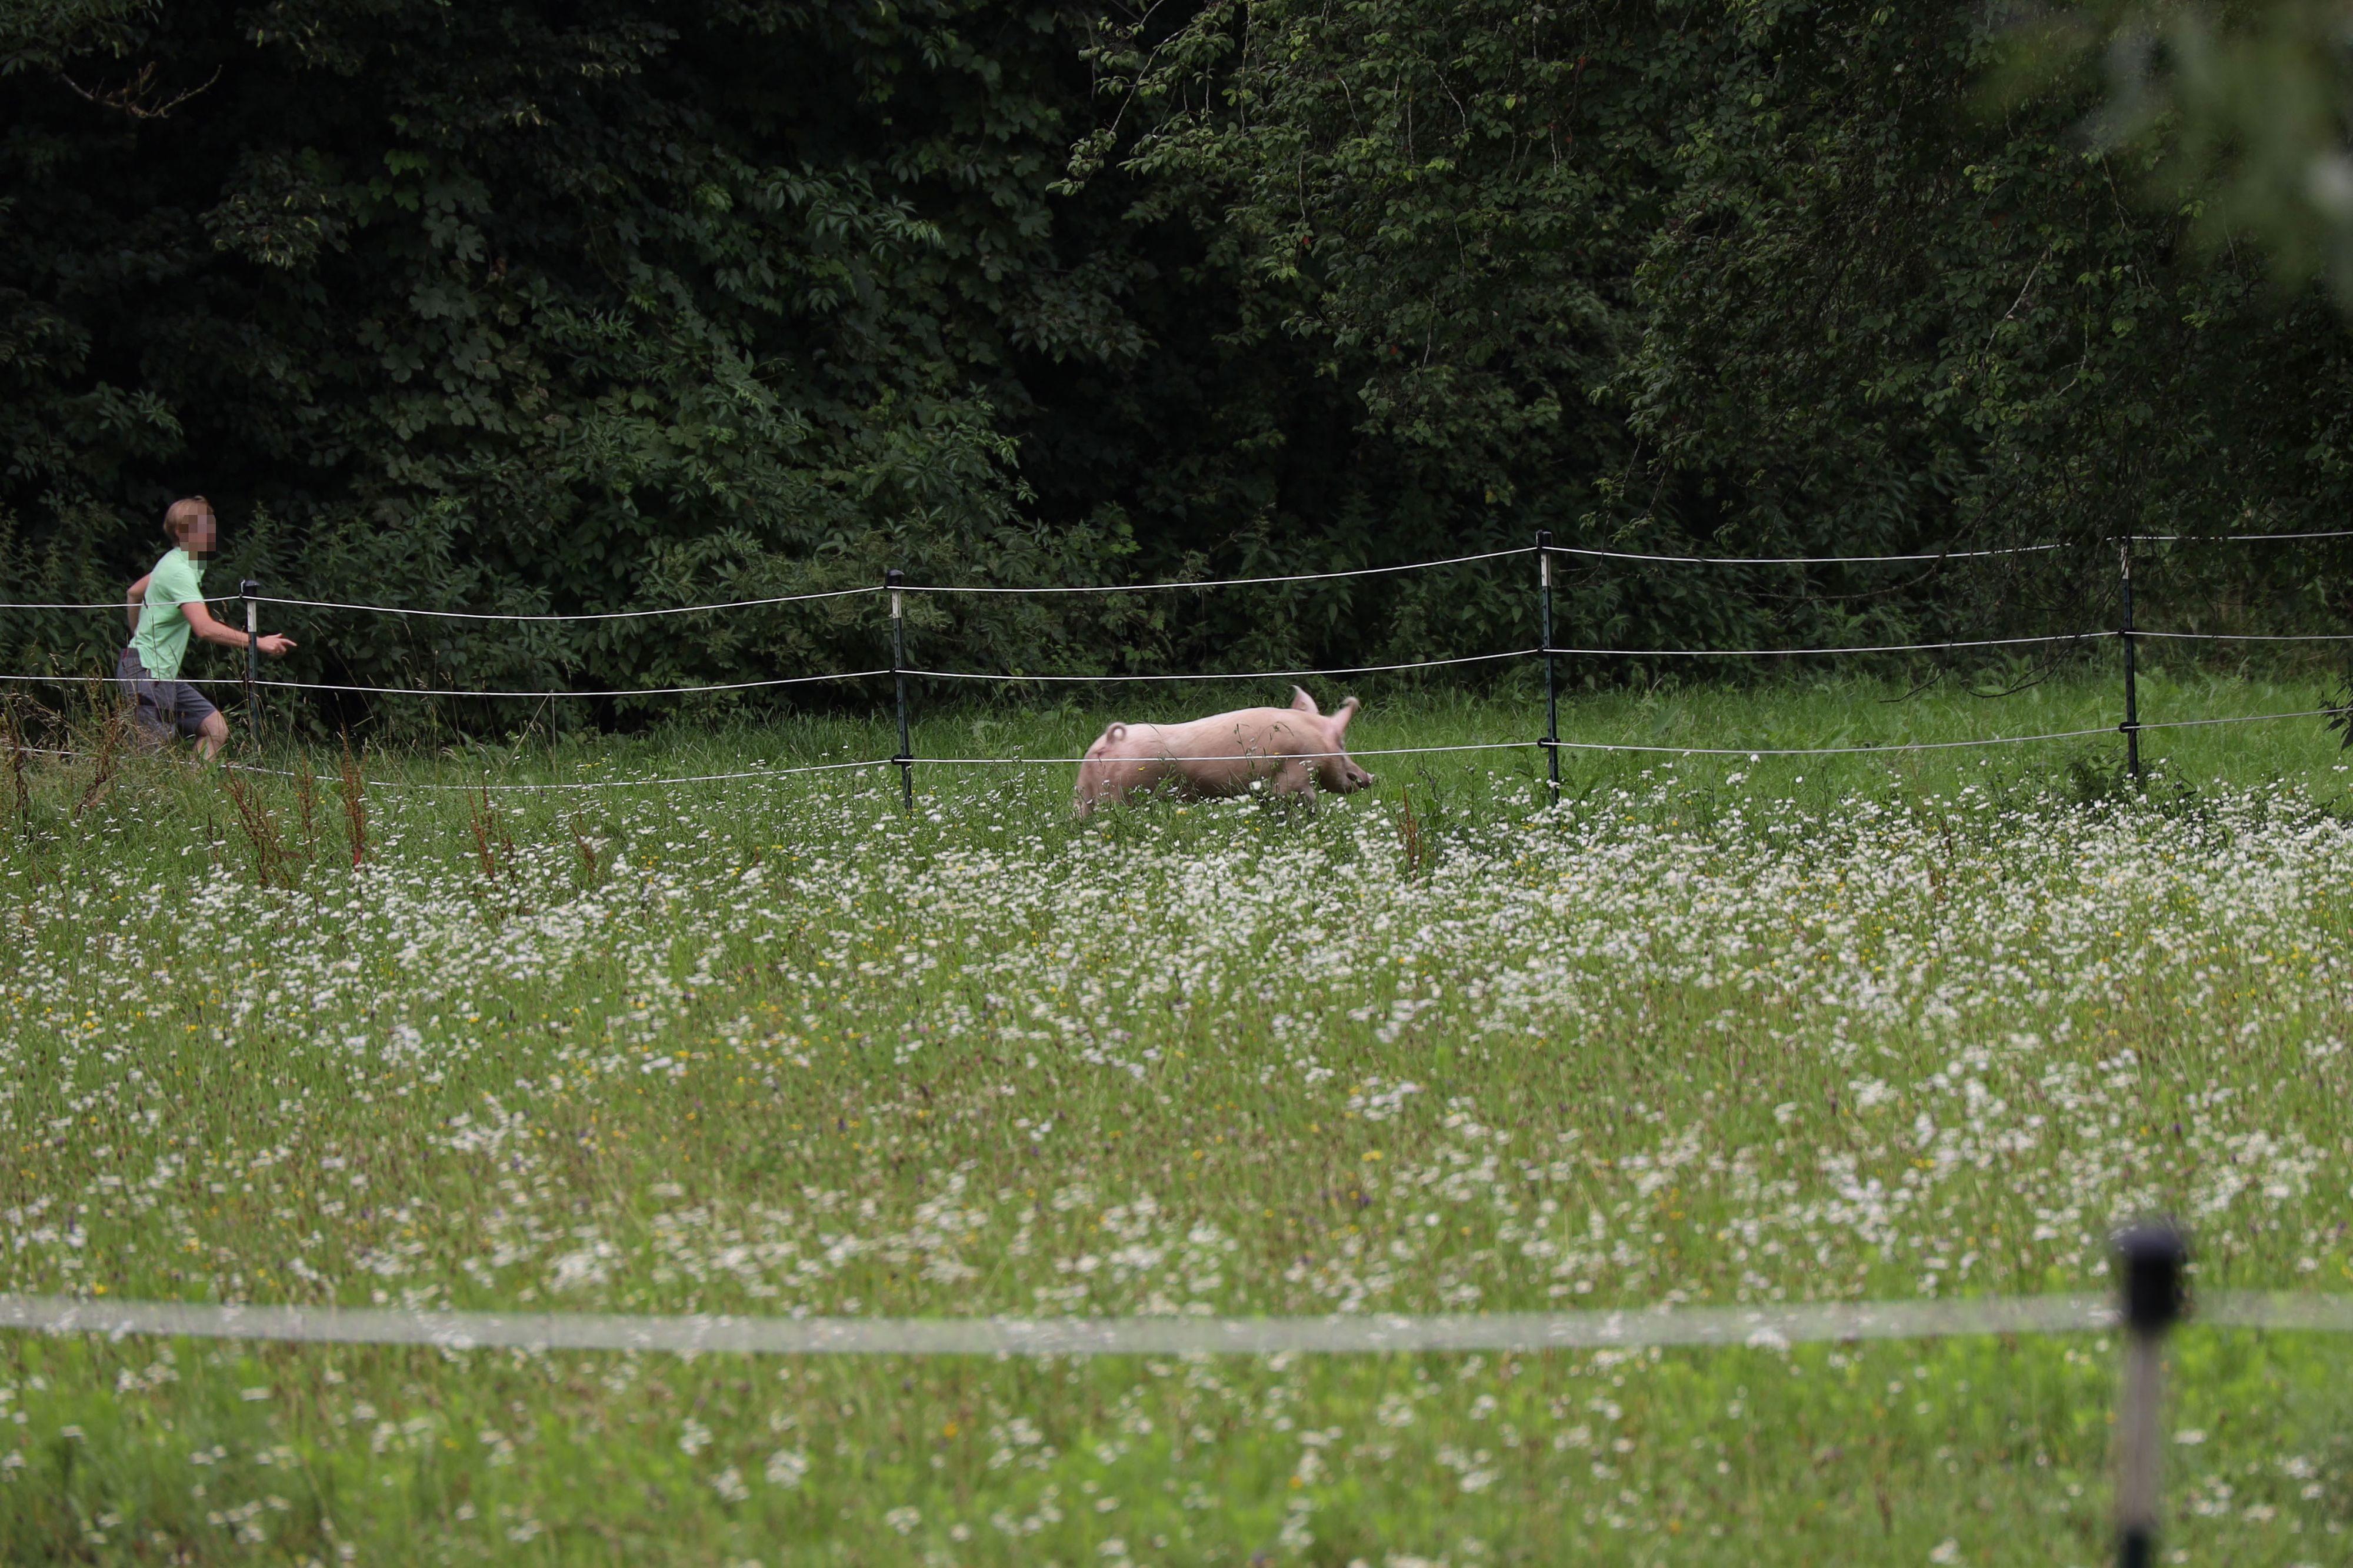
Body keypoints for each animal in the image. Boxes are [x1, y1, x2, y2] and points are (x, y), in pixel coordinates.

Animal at [1074, 687, 1375, 817]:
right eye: (1342, 745)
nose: (1369, 778)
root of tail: (1107, 742)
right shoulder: (1293, 774)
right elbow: (1303, 798)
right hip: (1118, 793)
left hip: (1084, 792)